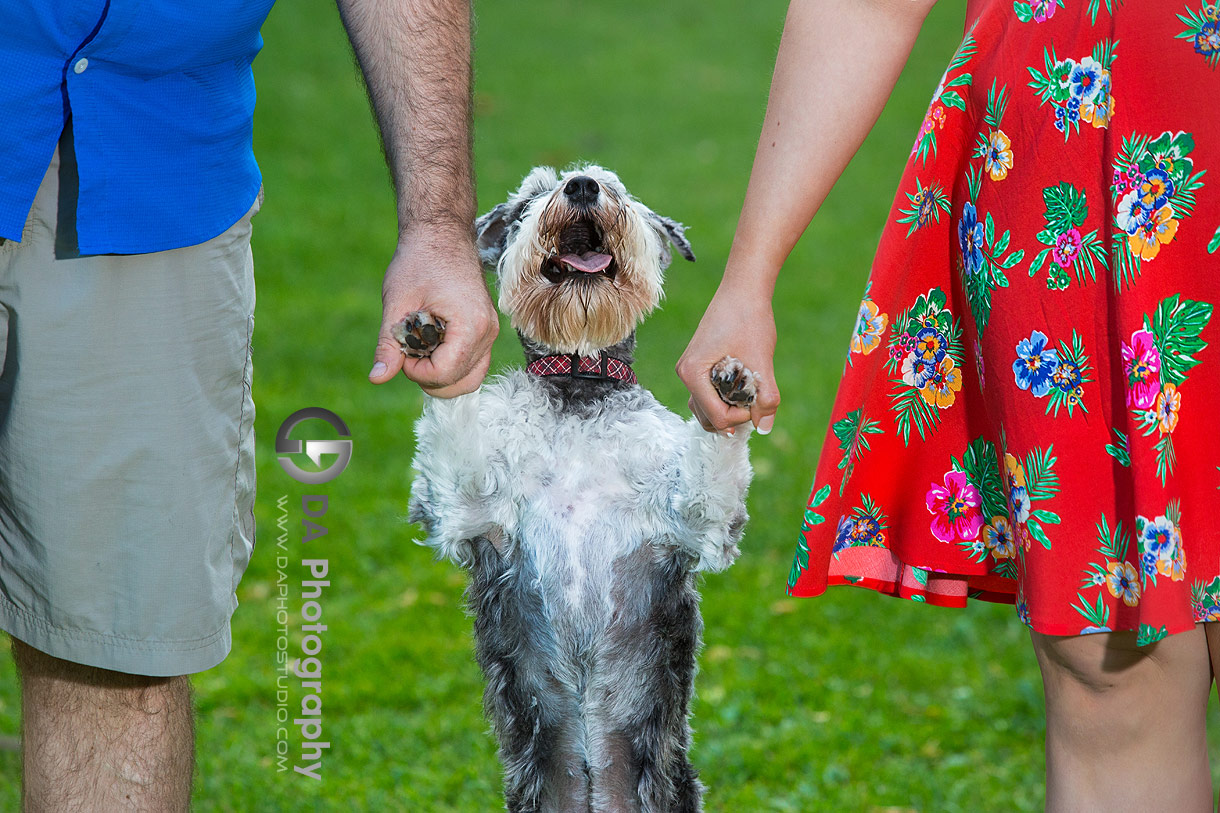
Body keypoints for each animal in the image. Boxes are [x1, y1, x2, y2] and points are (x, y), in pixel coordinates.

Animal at [405, 164, 756, 810]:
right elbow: (453, 420)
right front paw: (431, 338)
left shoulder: (696, 519)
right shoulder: (466, 504)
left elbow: (712, 465)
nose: (582, 185)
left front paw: (731, 384)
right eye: (534, 195)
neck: (578, 384)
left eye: (616, 185)